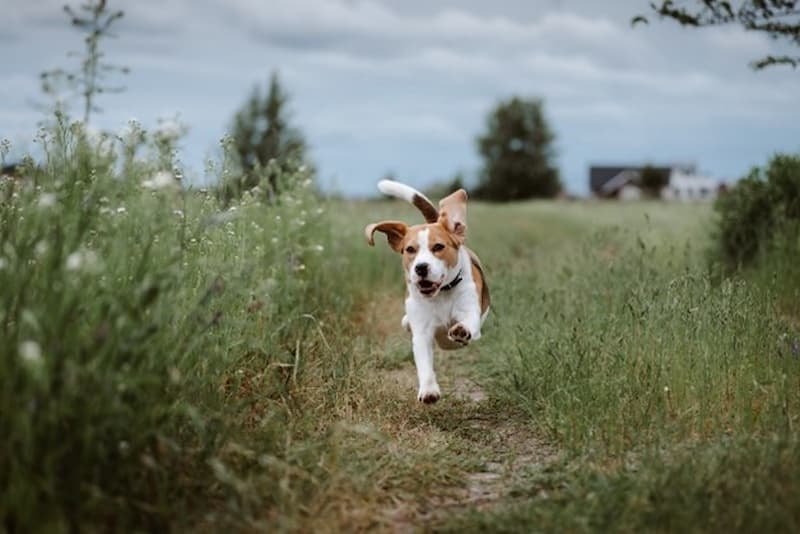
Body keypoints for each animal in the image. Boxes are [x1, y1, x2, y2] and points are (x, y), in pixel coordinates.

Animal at [366, 182, 490, 404]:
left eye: (438, 247)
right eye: (410, 249)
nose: (421, 268)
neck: (441, 294)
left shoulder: (470, 312)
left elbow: (467, 322)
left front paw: (461, 330)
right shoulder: (422, 332)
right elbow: (423, 363)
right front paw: (429, 390)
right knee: (407, 323)